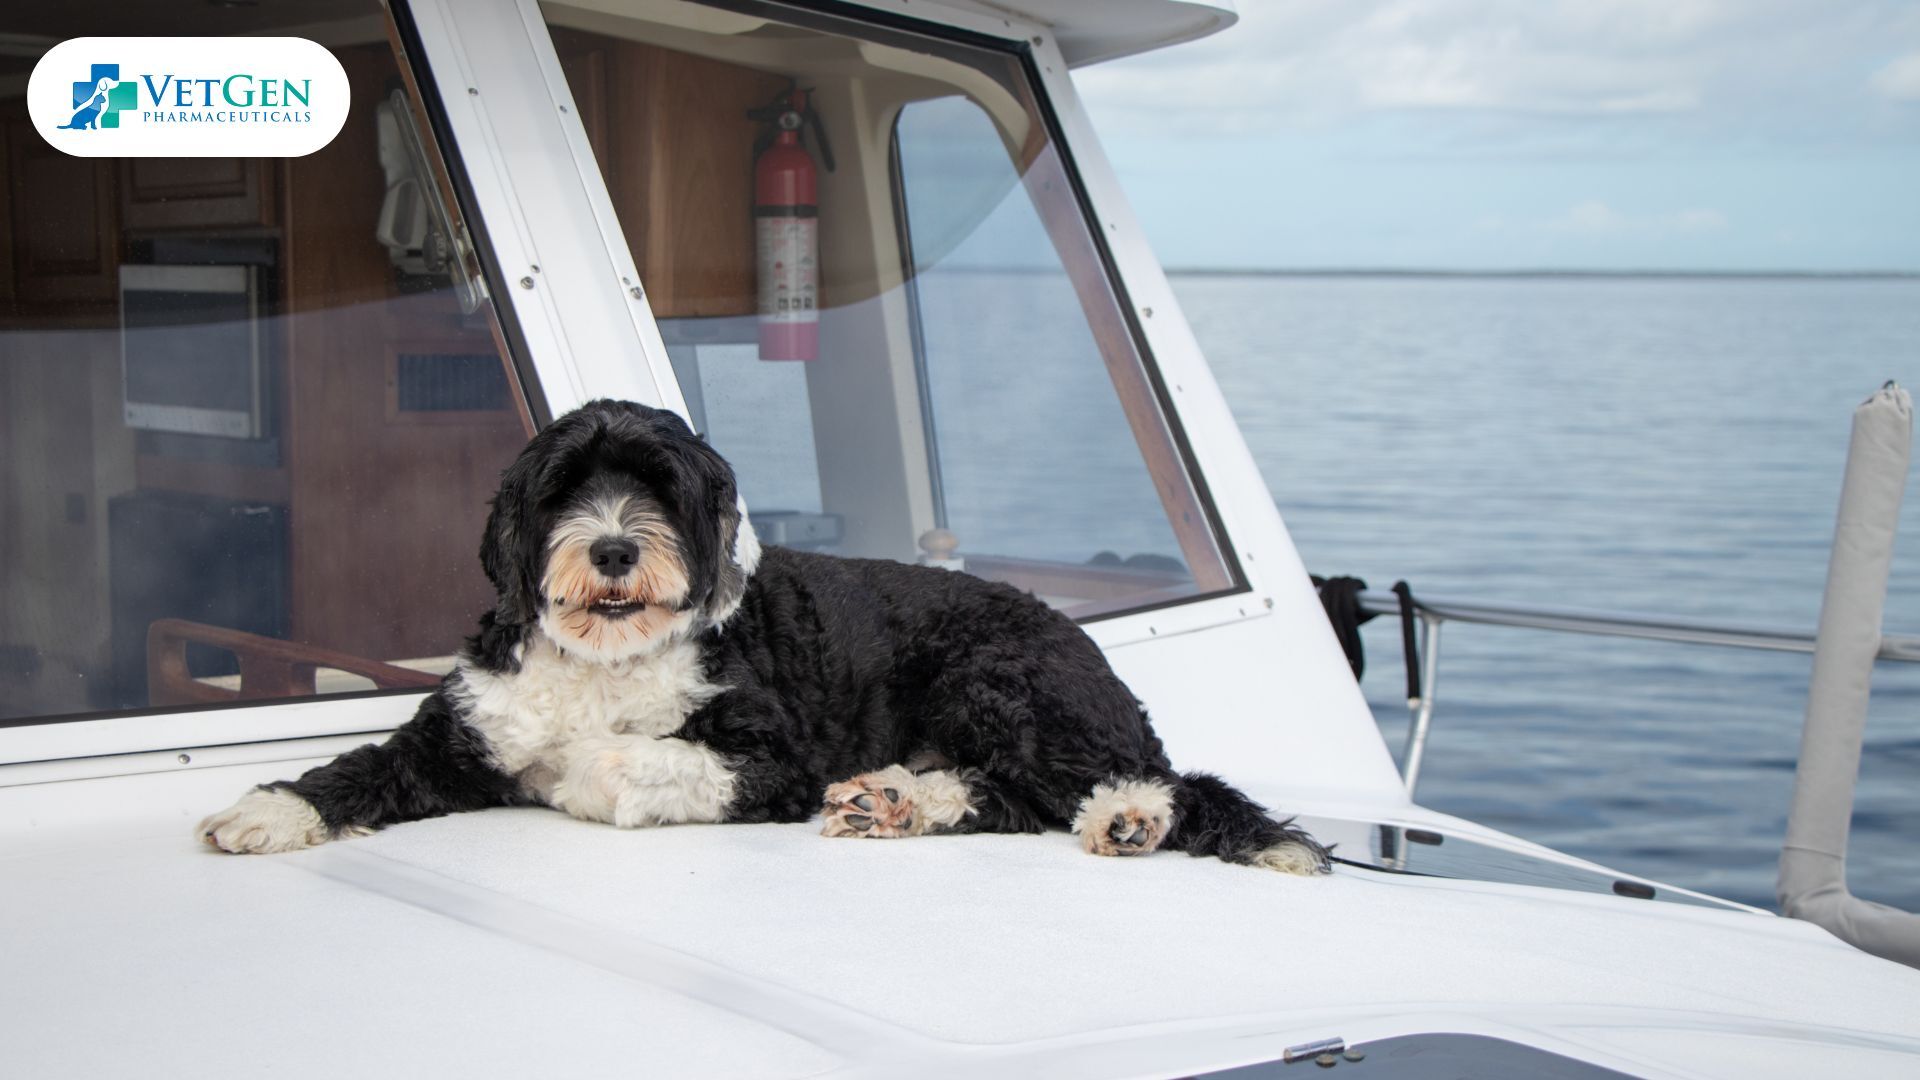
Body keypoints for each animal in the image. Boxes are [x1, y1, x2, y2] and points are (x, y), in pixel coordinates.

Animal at [198, 399, 1336, 868]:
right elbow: (363, 767)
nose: (614, 548)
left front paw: (597, 769)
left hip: (996, 679)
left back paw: (1130, 817)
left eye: (659, 488)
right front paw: (266, 811)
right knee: (1008, 798)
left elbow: (643, 761)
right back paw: (899, 802)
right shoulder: (463, 734)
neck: (607, 659)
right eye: (564, 490)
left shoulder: (774, 756)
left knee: (1139, 782)